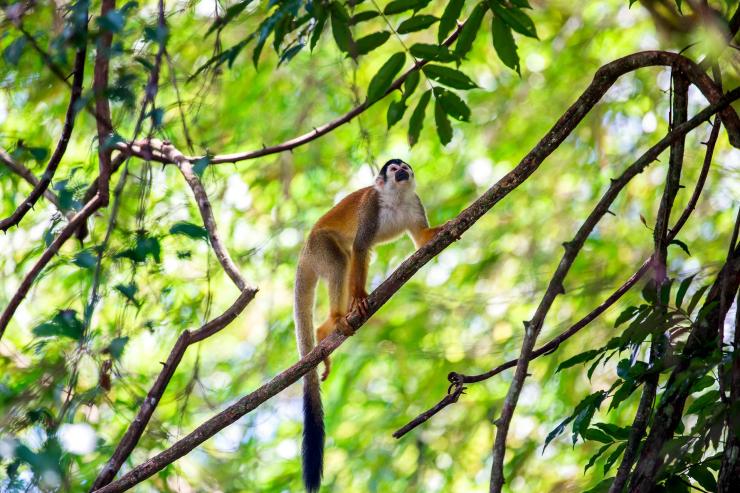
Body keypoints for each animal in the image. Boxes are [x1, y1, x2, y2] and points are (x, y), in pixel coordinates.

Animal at [292, 160, 442, 490]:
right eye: (394, 169)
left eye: (405, 167)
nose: (403, 170)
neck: (396, 199)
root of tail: (303, 252)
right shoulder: (372, 206)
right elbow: (361, 248)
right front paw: (360, 297)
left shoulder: (415, 201)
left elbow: (421, 238)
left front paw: (442, 231)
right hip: (319, 247)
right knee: (342, 260)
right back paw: (333, 323)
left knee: (346, 258)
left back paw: (326, 328)